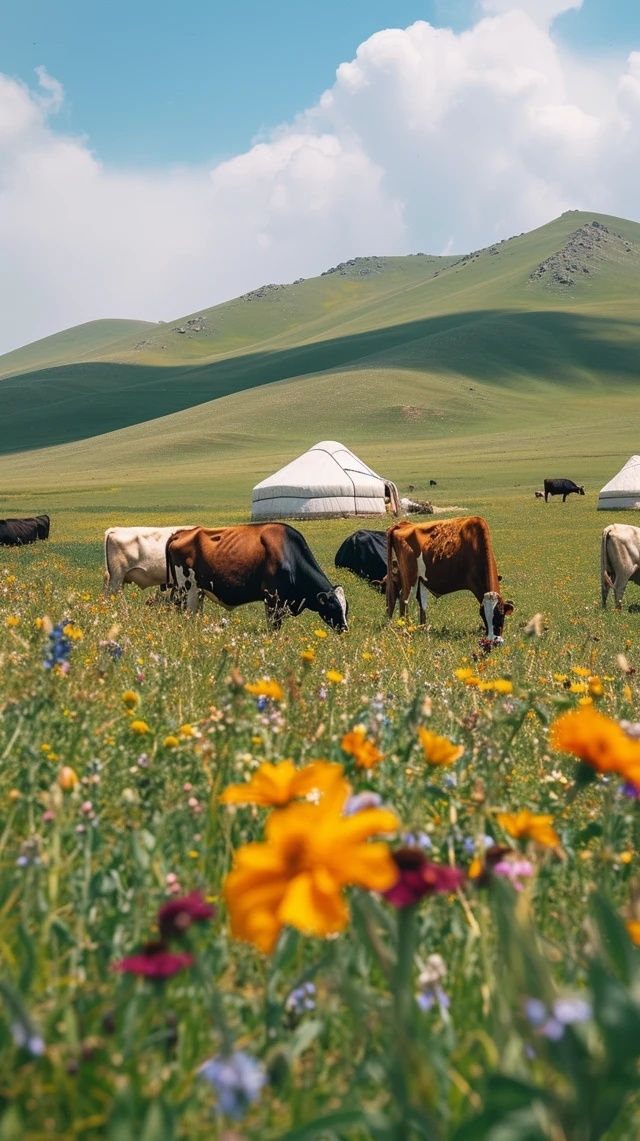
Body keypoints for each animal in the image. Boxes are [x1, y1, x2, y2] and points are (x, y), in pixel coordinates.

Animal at [161, 522, 346, 634]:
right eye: (334, 607)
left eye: (346, 607)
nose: (345, 628)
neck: (288, 554)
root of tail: (181, 533)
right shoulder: (272, 599)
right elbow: (274, 627)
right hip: (189, 590)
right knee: (188, 615)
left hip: (194, 592)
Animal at [383, 518, 513, 643]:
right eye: (484, 616)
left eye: (501, 614)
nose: (493, 640)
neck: (475, 544)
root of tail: (403, 524)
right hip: (410, 578)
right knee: (403, 601)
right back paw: (404, 629)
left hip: (410, 576)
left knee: (403, 600)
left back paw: (422, 629)